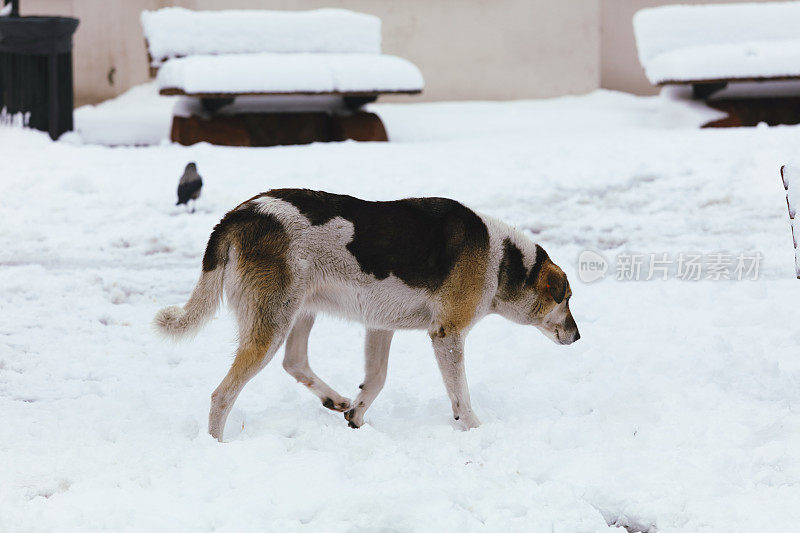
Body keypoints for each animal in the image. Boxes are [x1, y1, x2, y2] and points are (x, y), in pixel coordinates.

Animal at [153, 189, 580, 438]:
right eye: (567, 298)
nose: (578, 336)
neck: (503, 259)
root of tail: (240, 214)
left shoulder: (380, 326)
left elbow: (376, 379)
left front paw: (356, 416)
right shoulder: (448, 334)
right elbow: (461, 395)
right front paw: (475, 430)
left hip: (300, 311)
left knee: (295, 362)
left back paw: (335, 400)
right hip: (272, 324)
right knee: (222, 395)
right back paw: (216, 446)